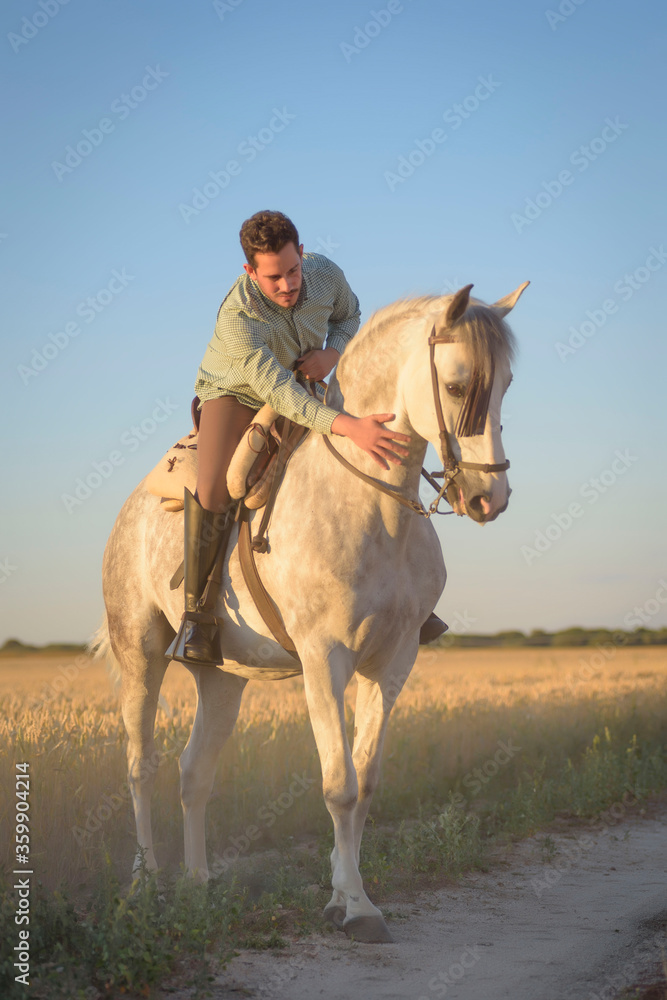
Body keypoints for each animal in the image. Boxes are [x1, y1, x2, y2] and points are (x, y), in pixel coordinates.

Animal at [98, 284, 528, 944]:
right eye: (457, 386)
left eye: (505, 383)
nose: (489, 498)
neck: (373, 509)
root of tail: (130, 511)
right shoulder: (326, 659)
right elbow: (339, 785)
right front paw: (355, 907)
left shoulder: (393, 660)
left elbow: (366, 780)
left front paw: (343, 893)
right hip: (139, 652)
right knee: (141, 766)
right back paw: (145, 886)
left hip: (221, 677)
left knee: (195, 772)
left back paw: (198, 885)